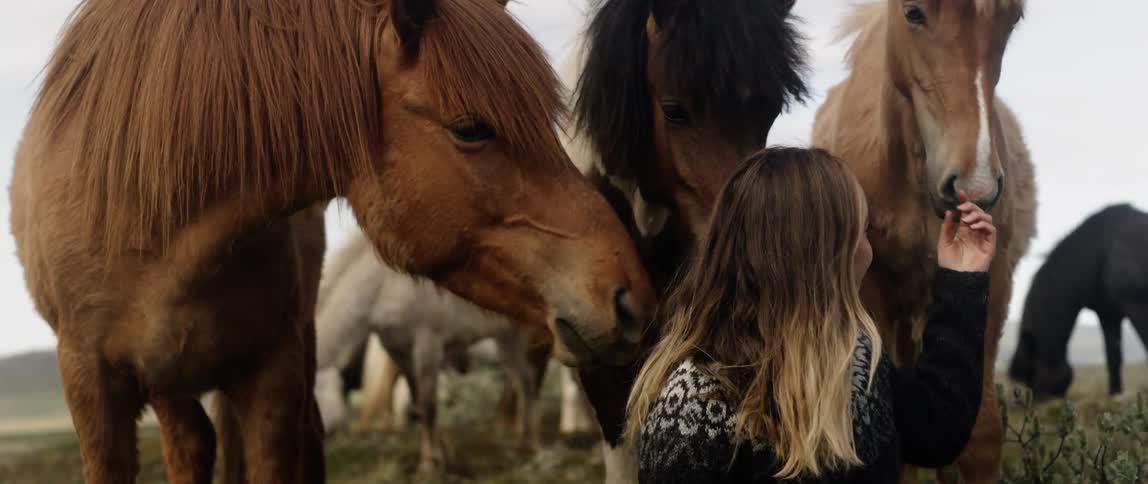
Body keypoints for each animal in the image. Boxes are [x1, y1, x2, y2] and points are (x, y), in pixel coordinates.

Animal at [312, 229, 548, 472]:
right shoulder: (399, 351)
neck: (386, 284)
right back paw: (524, 445)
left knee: (531, 382)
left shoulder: (428, 343)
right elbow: (417, 402)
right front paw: (442, 453)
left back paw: (533, 448)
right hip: (506, 339)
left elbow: (429, 404)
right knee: (523, 381)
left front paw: (429, 463)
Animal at [811, 2, 1037, 482]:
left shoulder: (993, 283)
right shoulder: (870, 290)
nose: (975, 186)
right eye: (913, 13)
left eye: (1012, 19)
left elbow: (978, 434)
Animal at [1008, 204, 1148, 400]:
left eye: (1032, 374)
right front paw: (1115, 394)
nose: (1037, 402)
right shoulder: (1108, 314)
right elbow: (1113, 358)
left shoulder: (1137, 306)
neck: (1100, 250)